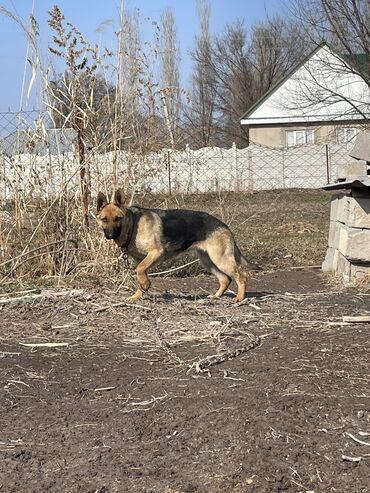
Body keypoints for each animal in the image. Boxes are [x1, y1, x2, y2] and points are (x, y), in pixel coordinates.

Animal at [96, 190, 258, 302]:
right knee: (225, 279)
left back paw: (239, 298)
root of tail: (224, 225)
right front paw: (138, 294)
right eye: (104, 219)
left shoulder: (157, 253)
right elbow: (139, 273)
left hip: (220, 260)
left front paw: (145, 285)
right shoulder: (140, 260)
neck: (133, 225)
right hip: (208, 261)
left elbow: (140, 270)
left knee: (242, 276)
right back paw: (215, 296)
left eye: (118, 218)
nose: (110, 235)